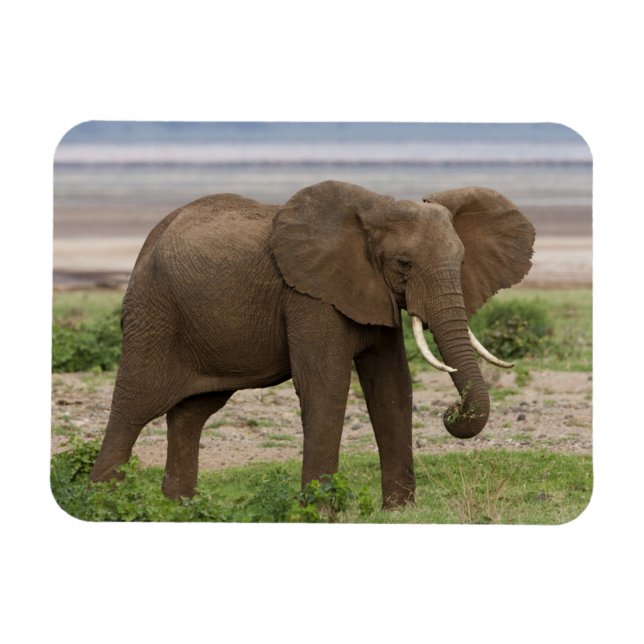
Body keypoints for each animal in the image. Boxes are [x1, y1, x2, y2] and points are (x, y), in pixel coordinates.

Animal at [89, 180, 535, 509]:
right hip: (154, 314)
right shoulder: (308, 296)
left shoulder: (370, 293)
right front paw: (320, 512)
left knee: (191, 414)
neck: (374, 211)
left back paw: (180, 508)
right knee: (133, 407)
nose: (451, 411)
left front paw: (400, 512)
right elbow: (326, 385)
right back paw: (105, 504)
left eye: (461, 262)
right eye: (403, 264)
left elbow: (391, 387)